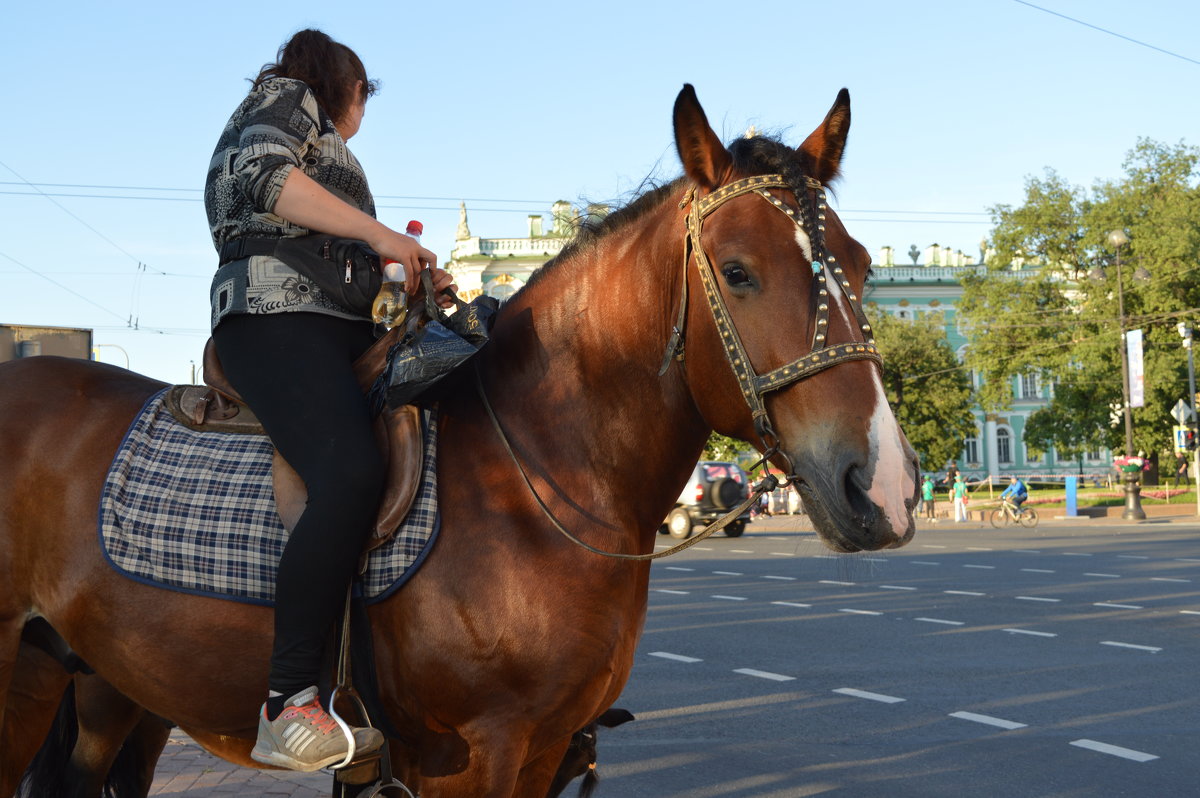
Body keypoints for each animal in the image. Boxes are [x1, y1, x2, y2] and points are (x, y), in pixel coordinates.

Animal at [0, 84, 916, 792]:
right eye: (736, 271)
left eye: (863, 265)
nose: (885, 486)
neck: (534, 480)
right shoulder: (473, 756)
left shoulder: (544, 751)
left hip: (93, 686)